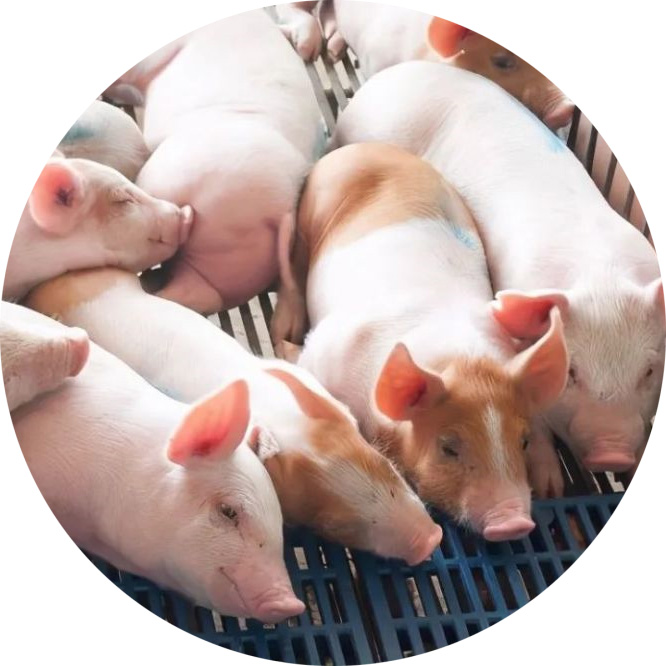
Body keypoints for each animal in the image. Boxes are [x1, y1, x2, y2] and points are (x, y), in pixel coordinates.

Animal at [271, 143, 569, 539]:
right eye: (448, 447)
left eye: (522, 440)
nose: (514, 523)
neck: (456, 355)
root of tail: (367, 148)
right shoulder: (324, 354)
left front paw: (553, 488)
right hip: (312, 212)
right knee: (297, 266)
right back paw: (285, 330)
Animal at [331, 62, 663, 491]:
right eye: (572, 372)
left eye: (649, 371)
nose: (613, 452)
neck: (600, 275)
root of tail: (388, 77)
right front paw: (550, 486)